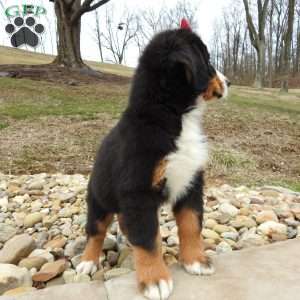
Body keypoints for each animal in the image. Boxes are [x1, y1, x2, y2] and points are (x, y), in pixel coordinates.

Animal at [77, 19, 230, 300]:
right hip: (99, 200)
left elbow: (191, 224)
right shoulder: (138, 192)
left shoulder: (191, 182)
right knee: (96, 231)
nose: (229, 81)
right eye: (208, 60)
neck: (171, 116)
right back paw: (87, 262)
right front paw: (155, 280)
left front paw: (196, 261)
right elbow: (148, 240)